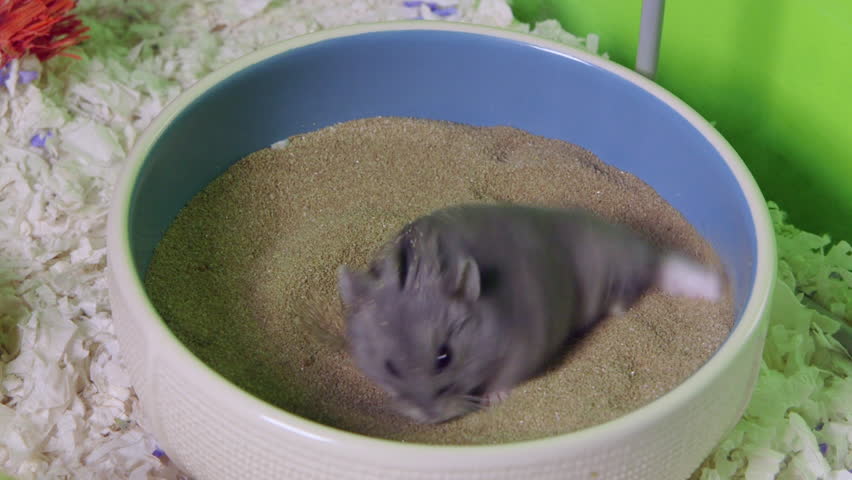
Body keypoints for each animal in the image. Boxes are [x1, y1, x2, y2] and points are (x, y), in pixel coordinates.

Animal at [337, 203, 723, 424]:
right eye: (390, 367)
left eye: (444, 357)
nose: (430, 419)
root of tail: (648, 251)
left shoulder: (523, 346)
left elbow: (505, 378)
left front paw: (493, 398)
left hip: (617, 273)